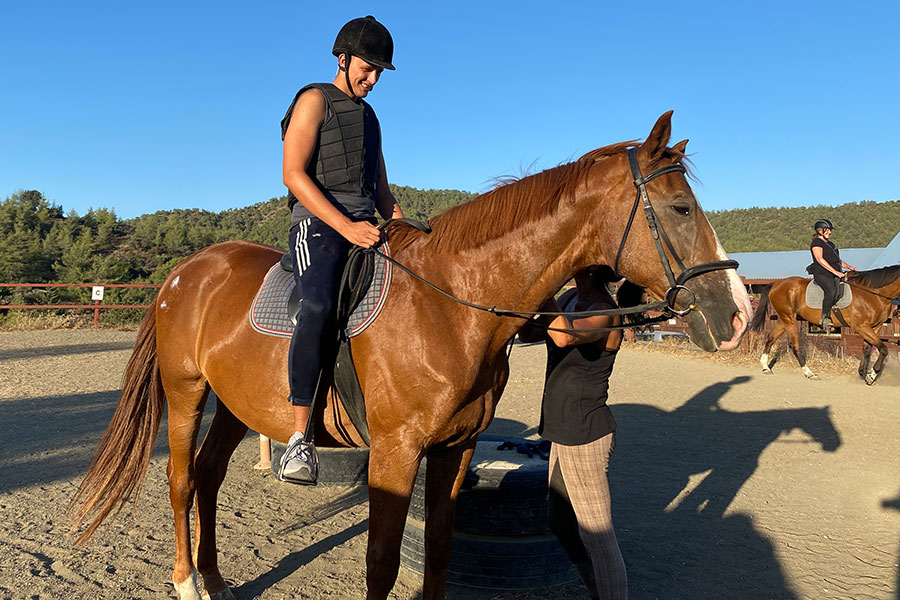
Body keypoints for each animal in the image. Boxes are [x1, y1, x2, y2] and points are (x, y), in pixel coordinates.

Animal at [68, 111, 752, 600]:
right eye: (680, 208)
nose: (738, 313)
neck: (451, 305)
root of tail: (187, 270)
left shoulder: (455, 450)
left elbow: (441, 554)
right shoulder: (396, 453)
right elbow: (382, 561)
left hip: (239, 403)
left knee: (209, 477)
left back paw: (213, 580)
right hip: (185, 390)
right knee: (182, 480)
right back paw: (187, 582)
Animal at [749, 266, 900, 384]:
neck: (874, 293)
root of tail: (776, 284)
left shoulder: (875, 327)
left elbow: (867, 350)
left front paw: (863, 373)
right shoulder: (861, 327)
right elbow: (883, 349)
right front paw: (872, 375)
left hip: (783, 319)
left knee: (770, 338)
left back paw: (765, 367)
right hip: (789, 319)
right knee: (794, 346)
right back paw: (809, 373)